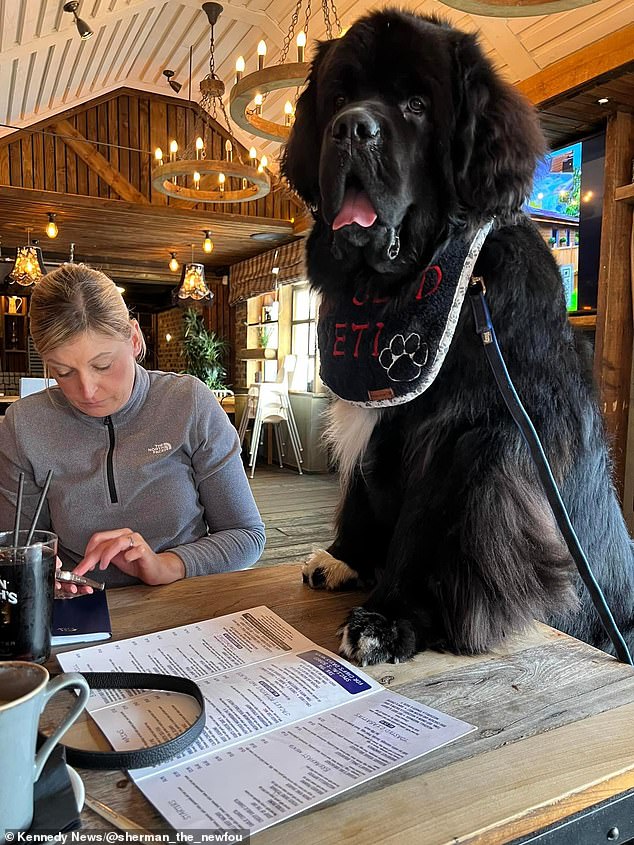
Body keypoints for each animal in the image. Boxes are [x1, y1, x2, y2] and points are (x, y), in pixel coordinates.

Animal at [282, 8, 632, 664]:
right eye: (338, 97)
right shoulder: (381, 412)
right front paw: (344, 559)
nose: (351, 129)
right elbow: (362, 489)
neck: (396, 283)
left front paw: (389, 618)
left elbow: (430, 525)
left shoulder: (474, 433)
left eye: (417, 104)